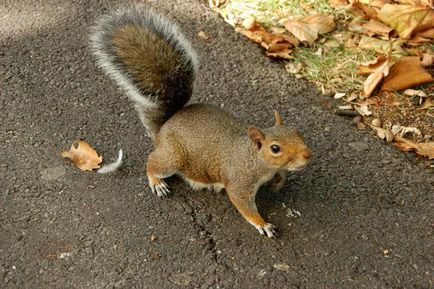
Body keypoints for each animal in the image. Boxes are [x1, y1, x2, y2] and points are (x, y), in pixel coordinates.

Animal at [89, 5, 312, 237]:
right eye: (275, 148)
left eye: (297, 132)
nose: (307, 155)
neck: (254, 158)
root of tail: (164, 128)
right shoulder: (239, 182)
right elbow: (244, 205)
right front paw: (262, 224)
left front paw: (278, 183)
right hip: (173, 158)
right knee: (152, 162)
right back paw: (157, 181)